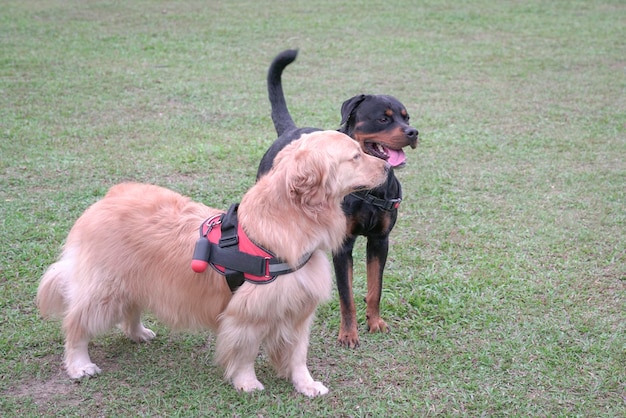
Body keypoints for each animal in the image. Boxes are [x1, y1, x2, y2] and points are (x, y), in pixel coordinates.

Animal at [36, 130, 388, 396]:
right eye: (355, 156)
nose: (387, 168)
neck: (290, 222)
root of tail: (107, 197)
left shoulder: (298, 310)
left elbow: (298, 355)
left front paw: (306, 384)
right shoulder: (247, 314)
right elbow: (245, 352)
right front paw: (247, 383)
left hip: (134, 280)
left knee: (130, 309)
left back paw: (138, 333)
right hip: (103, 290)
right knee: (75, 323)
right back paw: (79, 364)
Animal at [256, 49, 416, 350]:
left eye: (407, 118)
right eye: (383, 119)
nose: (414, 133)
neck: (368, 188)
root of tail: (290, 131)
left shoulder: (380, 240)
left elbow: (375, 287)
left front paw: (374, 322)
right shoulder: (343, 245)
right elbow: (346, 296)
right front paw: (349, 334)